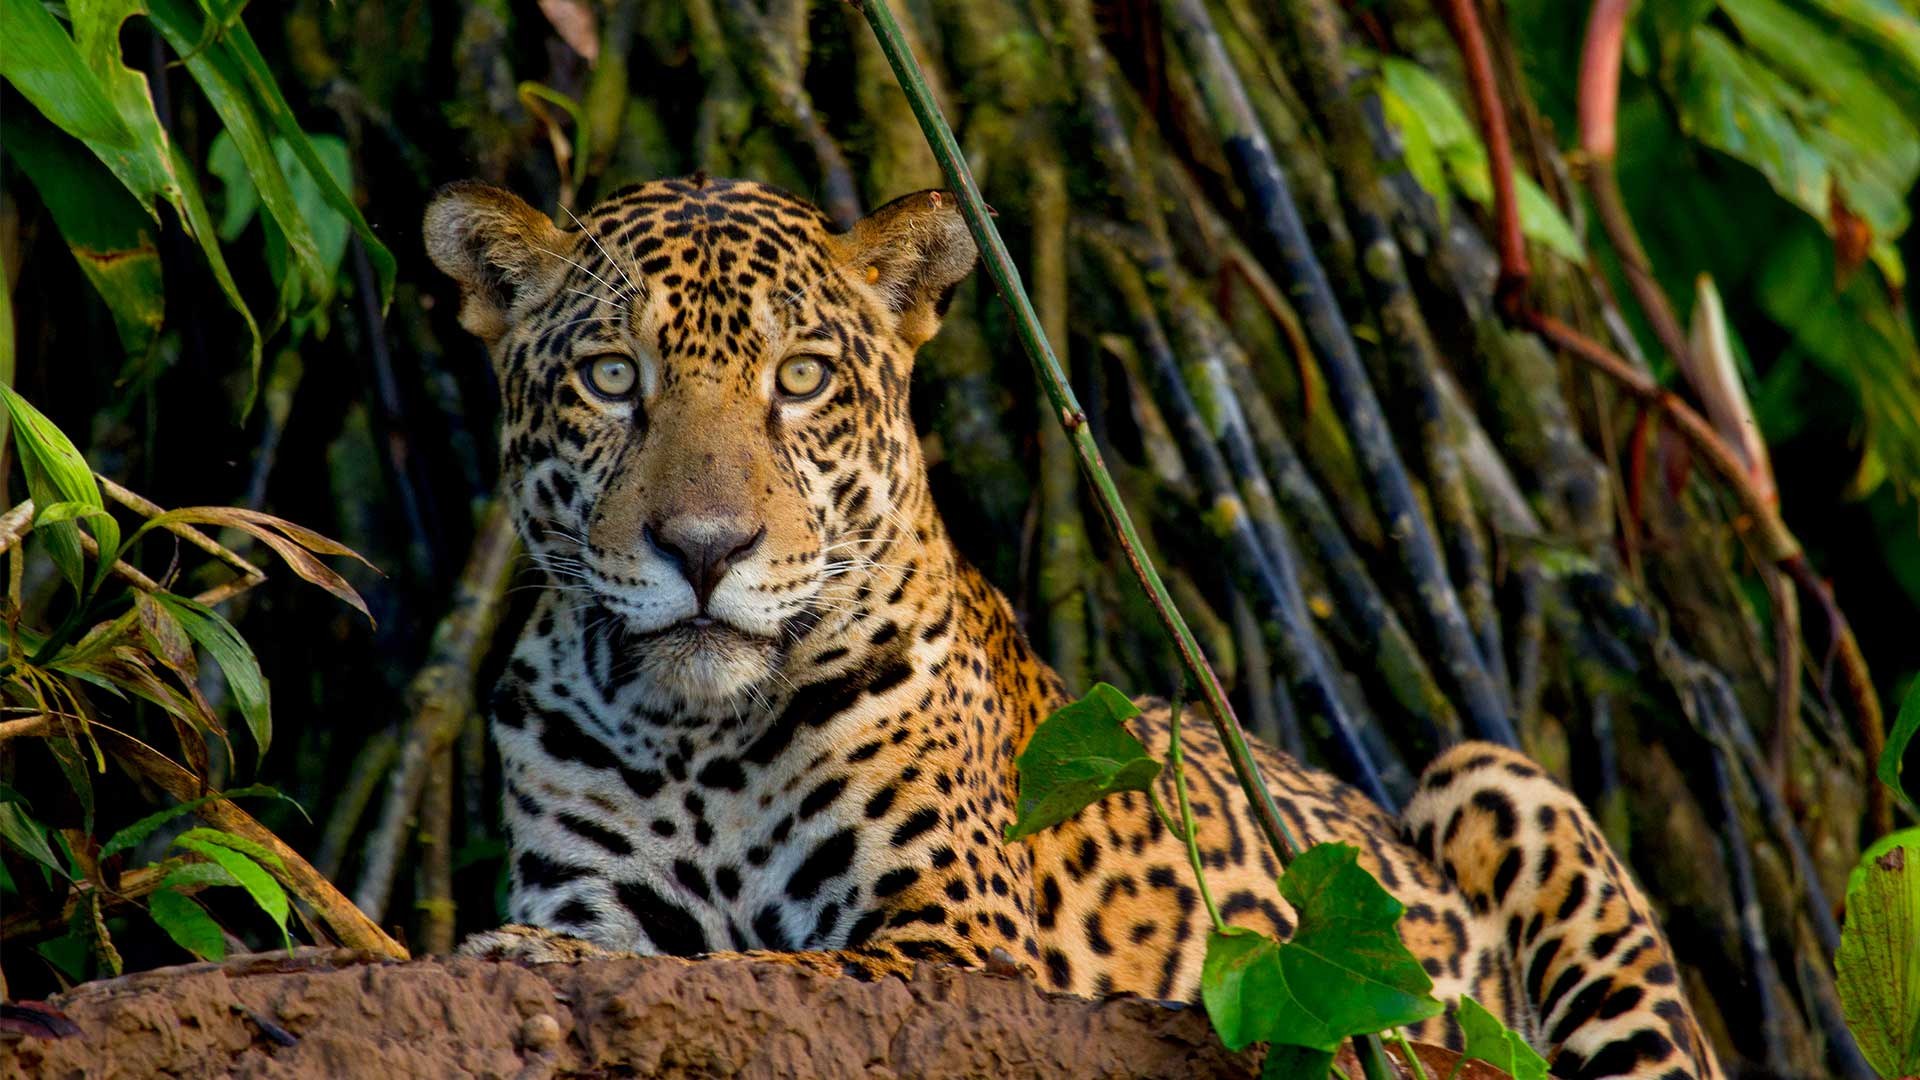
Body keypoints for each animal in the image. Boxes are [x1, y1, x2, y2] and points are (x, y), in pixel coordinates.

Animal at [422, 174, 1725, 1080]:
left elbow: (760, 967)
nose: (704, 549)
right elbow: (656, 956)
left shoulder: (946, 942)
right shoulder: (597, 883)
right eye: (610, 378)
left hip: (1498, 781)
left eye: (799, 379)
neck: (693, 736)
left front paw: (532, 960)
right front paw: (542, 956)